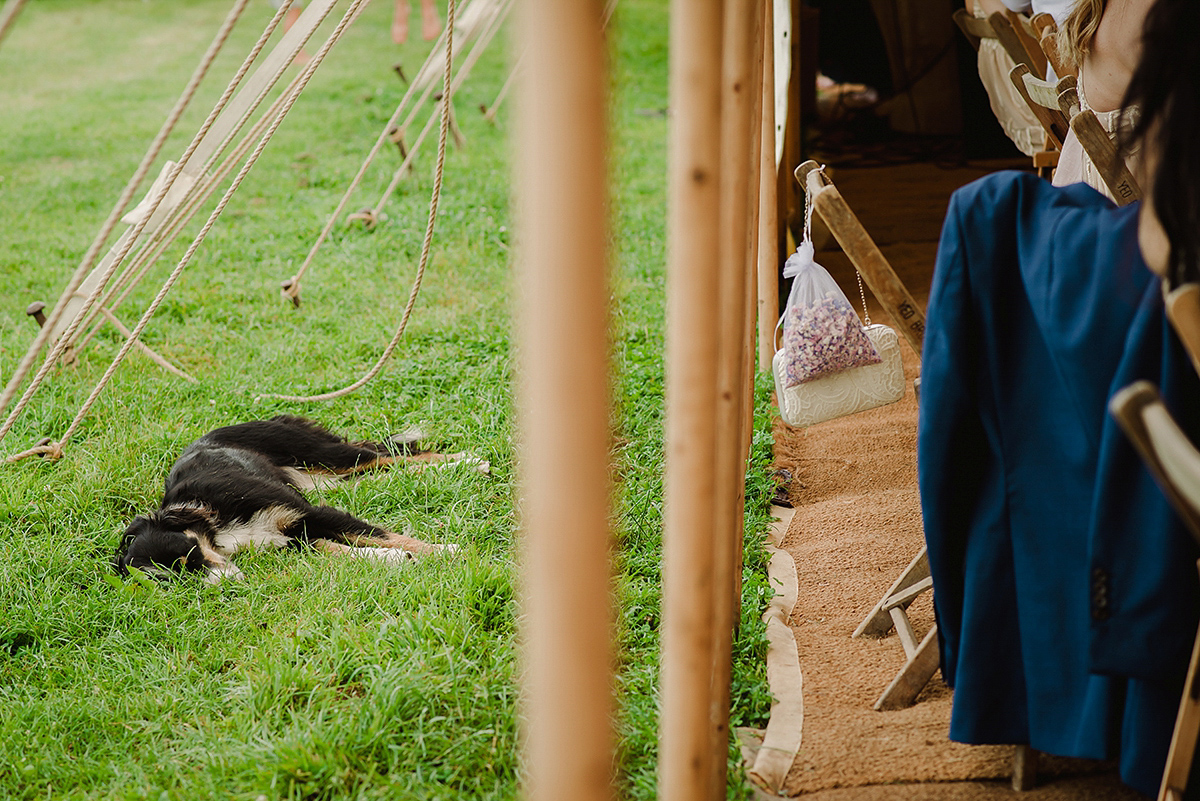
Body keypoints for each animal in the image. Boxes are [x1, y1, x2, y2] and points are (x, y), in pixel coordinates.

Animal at [115, 417, 463, 577]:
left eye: (188, 555)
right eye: (176, 580)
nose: (227, 584)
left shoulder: (308, 513)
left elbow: (387, 535)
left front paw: (448, 551)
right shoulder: (294, 535)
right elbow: (343, 549)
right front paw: (394, 559)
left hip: (324, 455)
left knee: (394, 455)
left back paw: (466, 461)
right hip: (323, 480)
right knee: (386, 471)